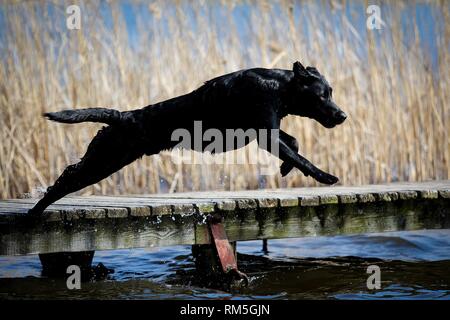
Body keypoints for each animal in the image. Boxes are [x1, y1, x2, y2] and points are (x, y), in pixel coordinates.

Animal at [28, 60, 346, 215]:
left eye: (331, 92)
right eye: (322, 95)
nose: (342, 115)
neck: (279, 86)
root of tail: (123, 116)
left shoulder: (270, 131)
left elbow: (294, 146)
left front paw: (285, 168)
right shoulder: (265, 134)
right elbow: (302, 157)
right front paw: (325, 177)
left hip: (103, 159)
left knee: (67, 175)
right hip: (104, 161)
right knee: (65, 179)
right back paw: (35, 213)